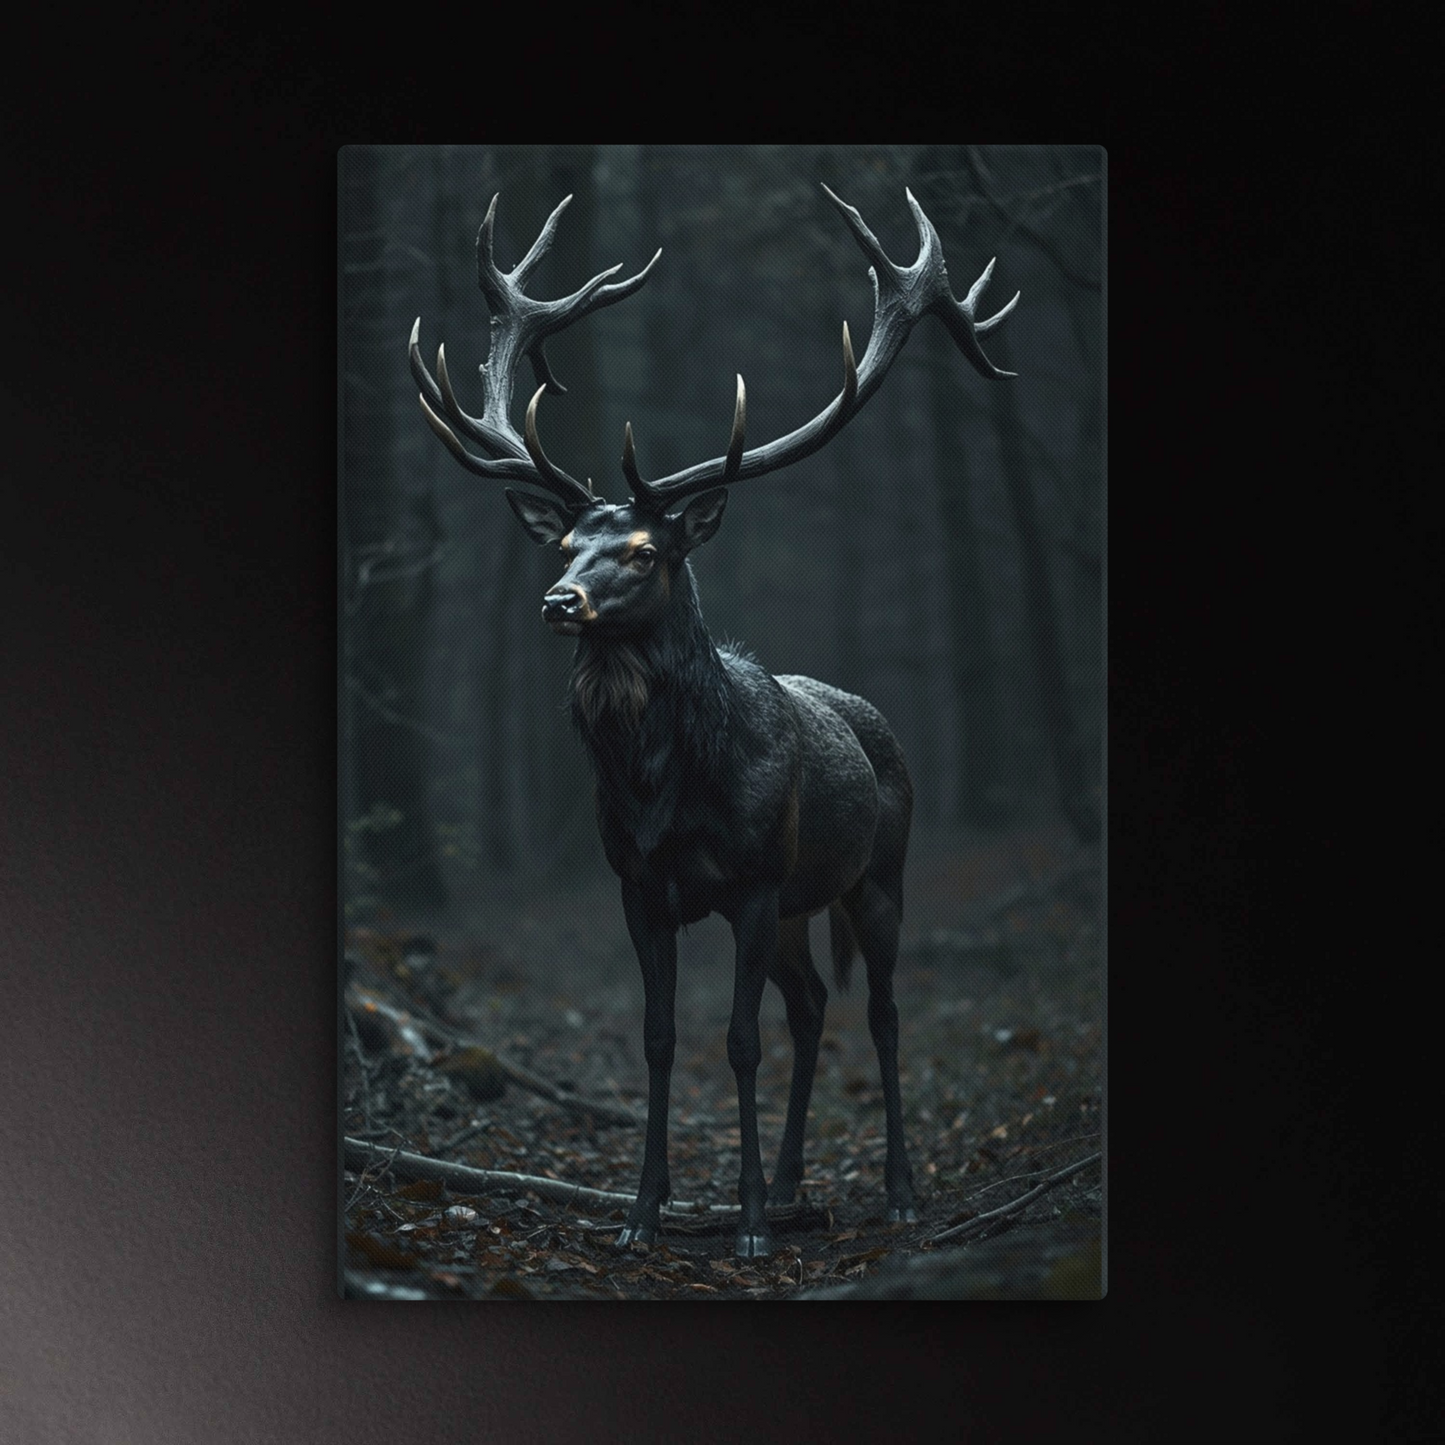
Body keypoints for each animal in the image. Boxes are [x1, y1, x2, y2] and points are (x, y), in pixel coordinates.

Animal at [409, 184, 1018, 1259]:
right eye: (563, 544)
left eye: (646, 550)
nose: (558, 601)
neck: (665, 787)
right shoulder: (639, 885)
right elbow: (659, 1039)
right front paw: (644, 1213)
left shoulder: (752, 880)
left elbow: (736, 1043)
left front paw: (745, 1227)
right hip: (801, 907)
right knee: (812, 1004)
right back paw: (794, 1178)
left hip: (873, 876)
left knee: (881, 1011)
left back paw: (894, 1189)